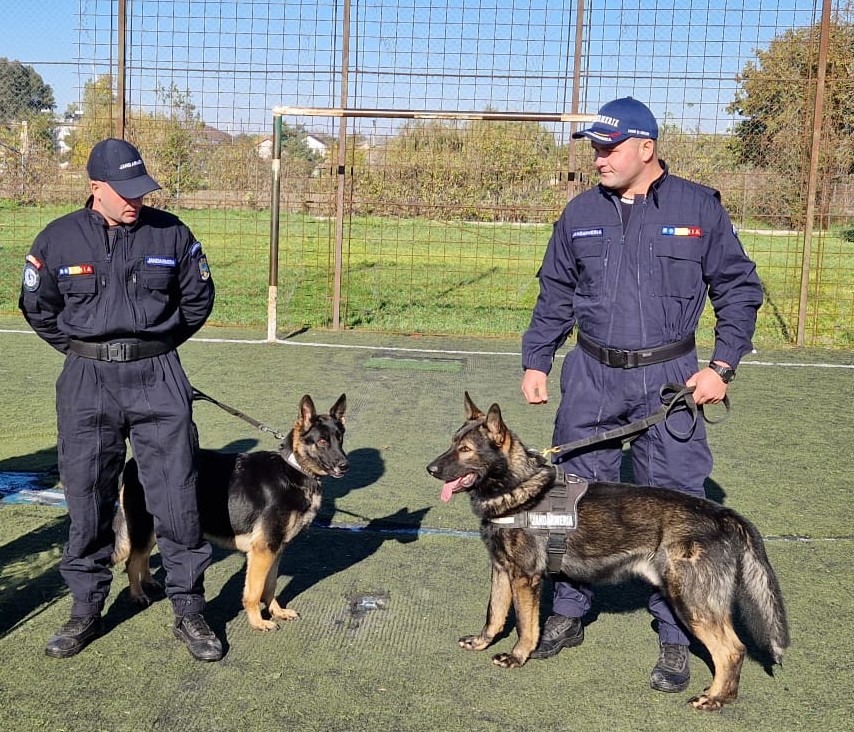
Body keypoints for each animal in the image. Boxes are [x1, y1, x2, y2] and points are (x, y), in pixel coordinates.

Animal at [113, 394, 348, 628]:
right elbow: (254, 591)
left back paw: (149, 582)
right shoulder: (263, 550)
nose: (345, 465)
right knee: (132, 562)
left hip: (155, 529)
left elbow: (270, 586)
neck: (294, 469)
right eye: (322, 441)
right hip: (144, 529)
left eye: (340, 438)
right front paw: (258, 621)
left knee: (141, 558)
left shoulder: (276, 549)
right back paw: (138, 595)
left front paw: (276, 611)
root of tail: (134, 463)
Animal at [426, 394, 788, 708]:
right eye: (452, 443)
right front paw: (481, 642)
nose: (430, 469)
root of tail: (722, 514)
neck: (517, 487)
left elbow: (526, 625)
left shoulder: (525, 578)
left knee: (732, 650)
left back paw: (713, 699)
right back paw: (725, 696)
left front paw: (517, 656)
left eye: (466, 450)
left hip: (689, 601)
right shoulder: (502, 570)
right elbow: (495, 614)